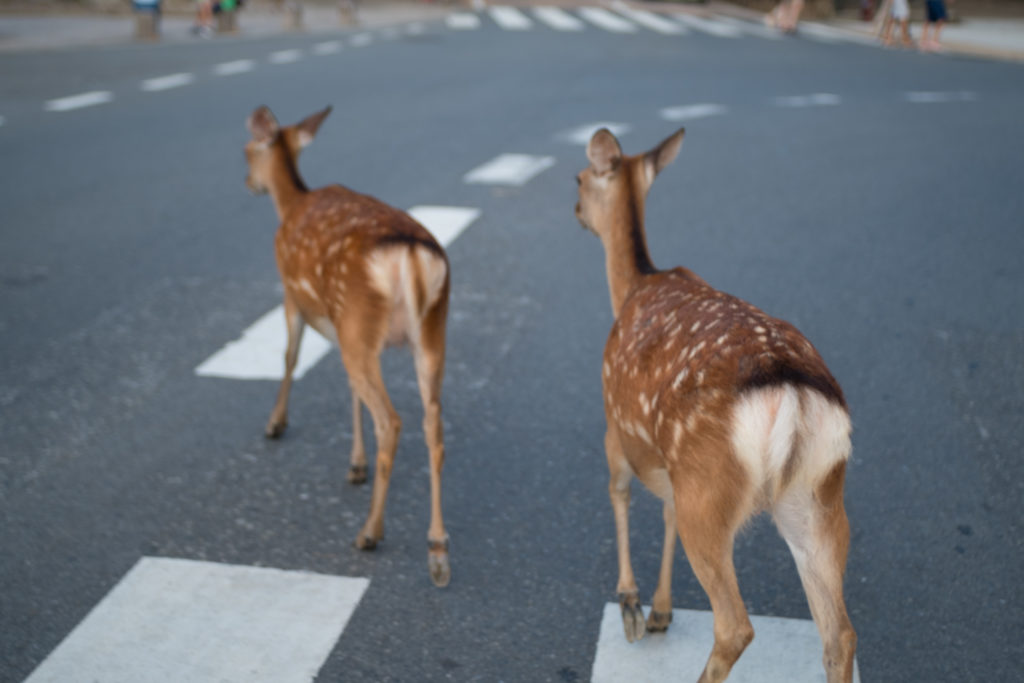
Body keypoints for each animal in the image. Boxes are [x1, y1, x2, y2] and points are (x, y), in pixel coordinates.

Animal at [243, 107, 452, 589]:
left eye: (246, 151)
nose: (247, 182)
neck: (291, 204)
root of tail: (412, 259)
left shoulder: (292, 294)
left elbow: (290, 357)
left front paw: (275, 423)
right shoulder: (340, 328)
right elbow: (349, 390)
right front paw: (356, 465)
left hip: (361, 319)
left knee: (391, 420)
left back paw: (370, 532)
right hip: (430, 331)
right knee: (433, 426)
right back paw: (438, 551)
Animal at [577, 129, 856, 683]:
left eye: (578, 178)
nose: (575, 208)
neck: (630, 287)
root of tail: (791, 394)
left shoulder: (616, 424)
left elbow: (620, 493)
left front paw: (632, 605)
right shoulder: (669, 463)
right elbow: (662, 510)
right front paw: (660, 611)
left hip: (710, 487)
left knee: (734, 625)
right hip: (817, 493)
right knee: (839, 633)